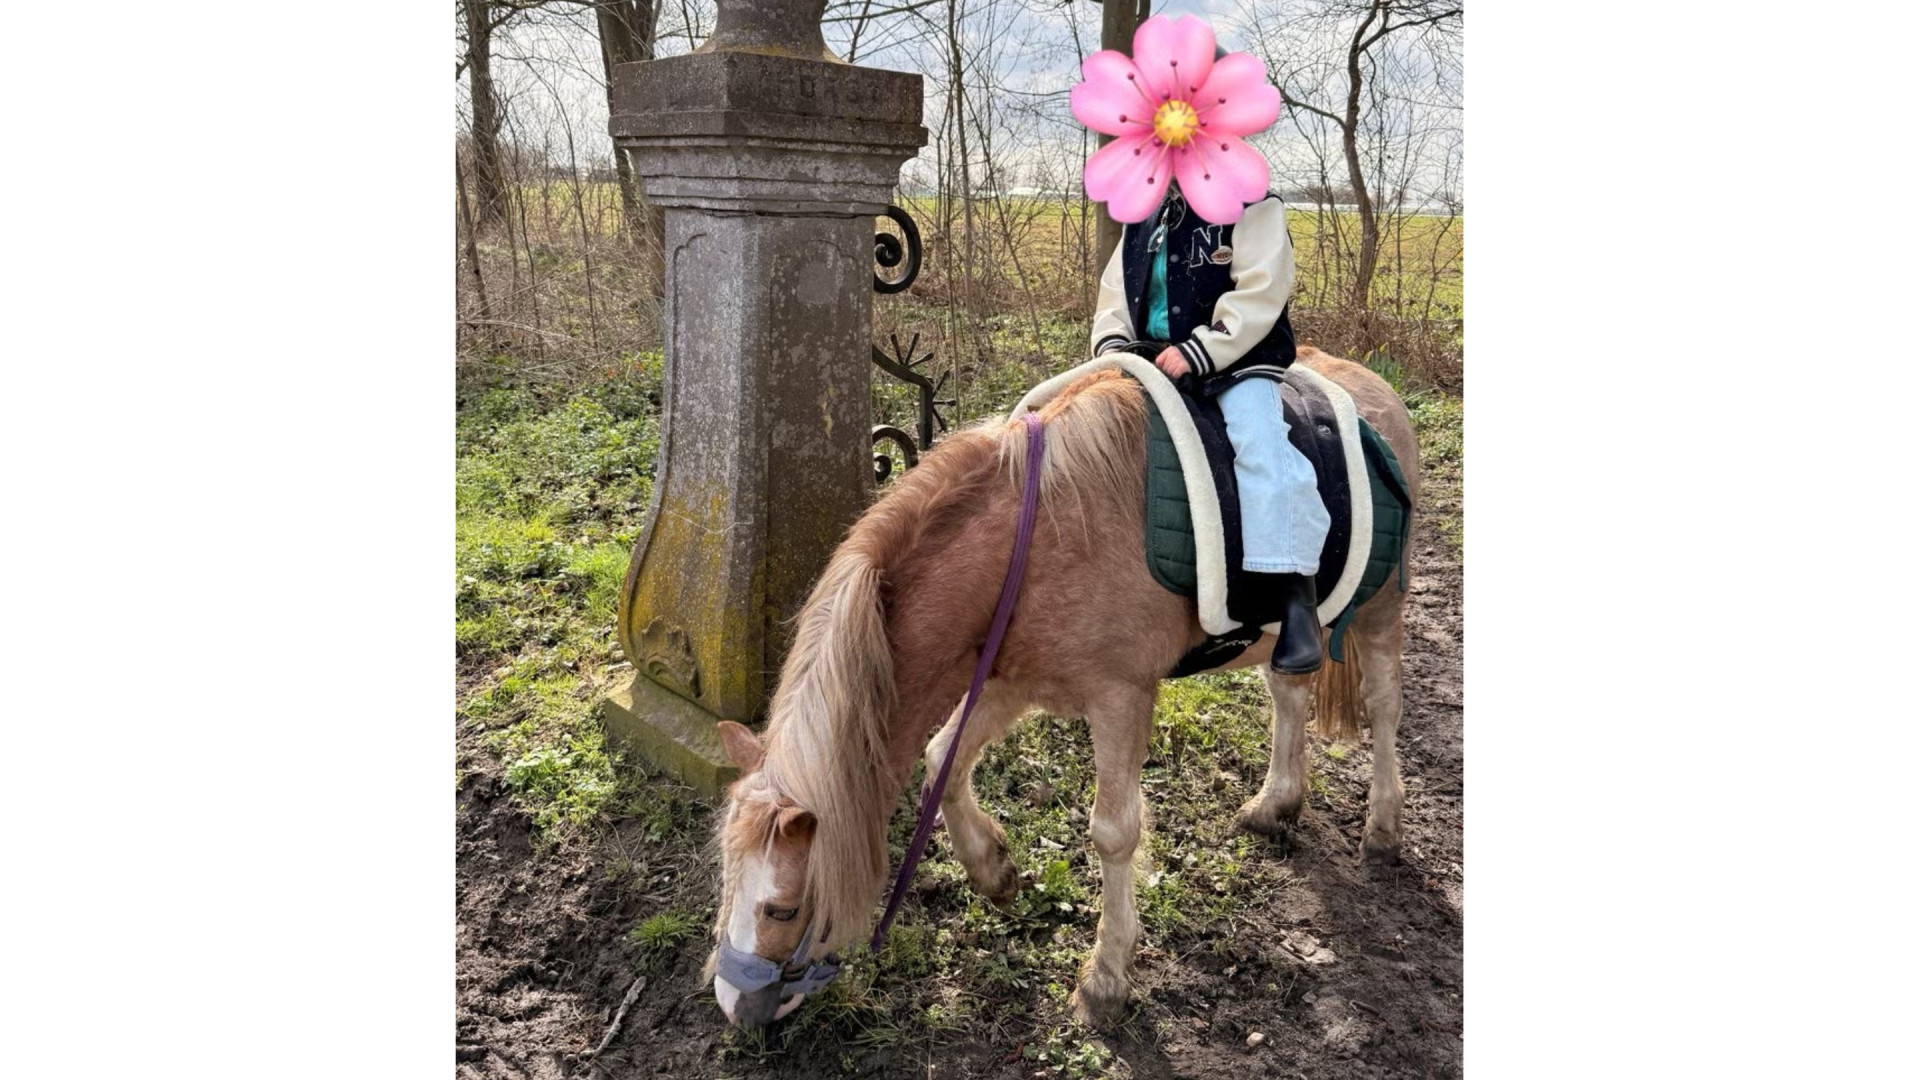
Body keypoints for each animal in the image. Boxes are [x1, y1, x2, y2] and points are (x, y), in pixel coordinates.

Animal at [707, 346, 1420, 1029]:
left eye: (781, 909)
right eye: (725, 879)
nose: (735, 1007)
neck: (1035, 543)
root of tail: (1372, 386)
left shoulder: (1119, 698)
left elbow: (1113, 833)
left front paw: (1105, 979)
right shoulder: (1007, 682)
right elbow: (942, 760)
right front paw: (992, 869)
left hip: (1381, 610)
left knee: (1385, 709)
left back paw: (1383, 828)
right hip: (1287, 630)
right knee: (1288, 695)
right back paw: (1277, 803)